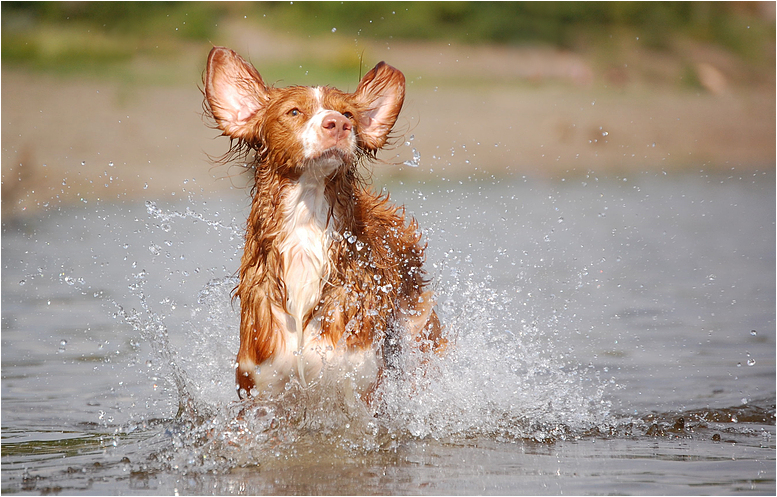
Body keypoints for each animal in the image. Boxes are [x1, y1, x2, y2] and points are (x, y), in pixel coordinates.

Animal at [200, 46, 442, 402]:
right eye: (293, 111)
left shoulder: (358, 383)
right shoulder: (261, 386)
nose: (338, 124)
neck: (307, 224)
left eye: (349, 114)